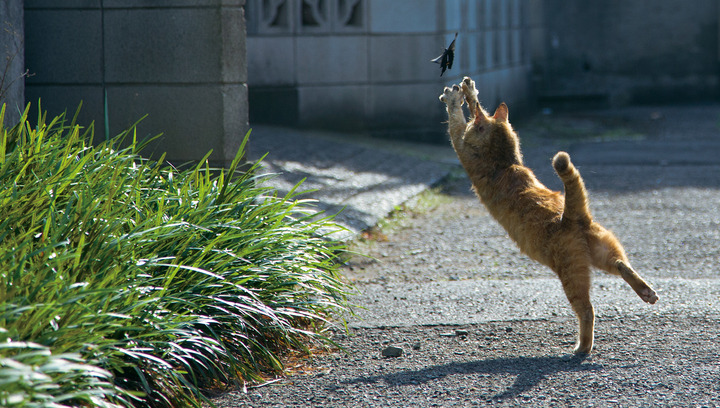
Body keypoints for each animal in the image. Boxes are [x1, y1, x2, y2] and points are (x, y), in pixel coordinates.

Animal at [438, 77, 660, 354]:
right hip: (603, 252)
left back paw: (582, 347)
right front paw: (468, 91)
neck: (505, 163)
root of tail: (571, 215)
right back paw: (646, 292)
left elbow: (455, 123)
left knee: (587, 311)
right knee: (622, 264)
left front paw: (457, 98)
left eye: (473, 125)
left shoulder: (462, 148)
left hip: (571, 275)